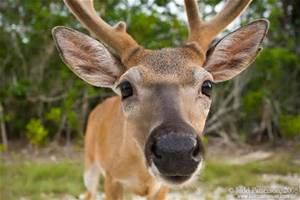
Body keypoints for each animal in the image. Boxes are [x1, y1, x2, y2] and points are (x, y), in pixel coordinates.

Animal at [52, 0, 270, 200]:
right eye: (125, 87)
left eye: (207, 85)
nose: (176, 150)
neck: (142, 177)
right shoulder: (112, 178)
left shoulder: (161, 188)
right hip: (90, 163)